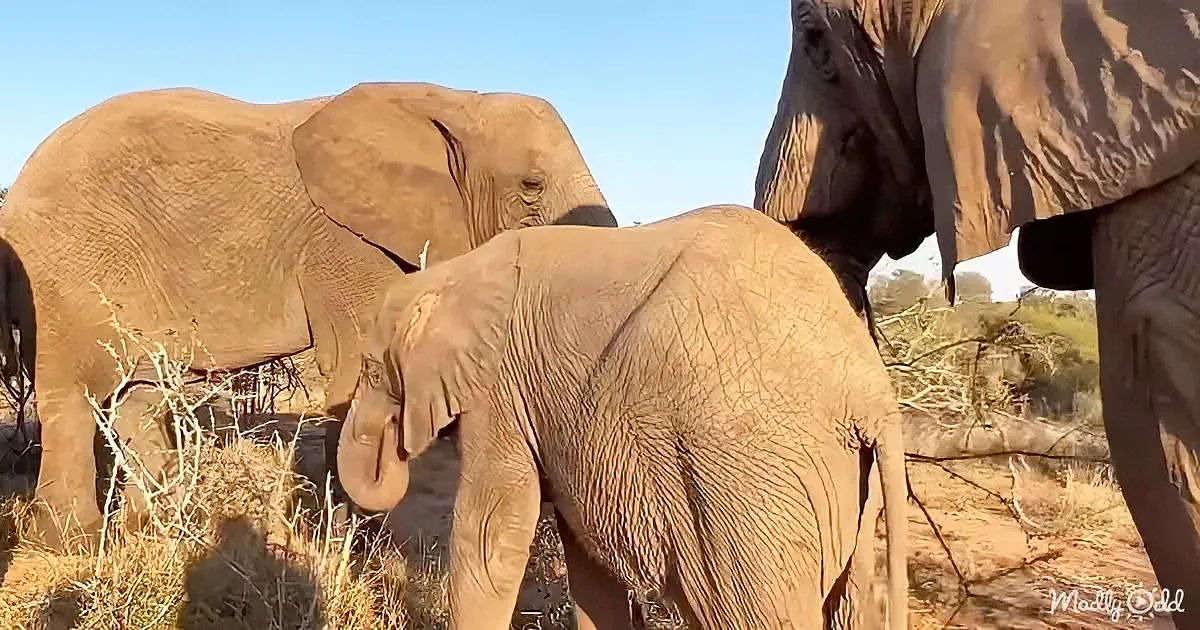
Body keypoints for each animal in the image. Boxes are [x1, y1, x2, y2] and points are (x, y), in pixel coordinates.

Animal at [0, 81, 616, 551]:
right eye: (532, 186)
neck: (457, 101)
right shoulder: (345, 245)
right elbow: (352, 368)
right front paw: (352, 548)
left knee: (142, 398)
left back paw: (148, 530)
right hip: (67, 272)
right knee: (72, 397)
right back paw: (70, 545)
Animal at [335, 204, 909, 630]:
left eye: (373, 369)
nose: (392, 449)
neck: (454, 274)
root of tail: (870, 391)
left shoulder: (499, 390)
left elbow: (491, 535)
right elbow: (585, 558)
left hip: (748, 486)